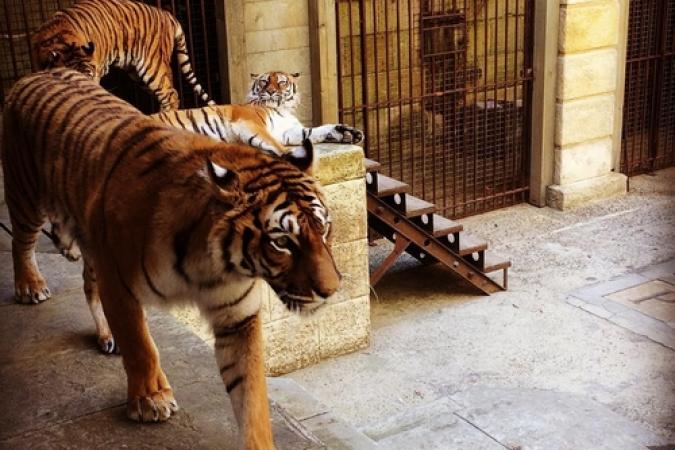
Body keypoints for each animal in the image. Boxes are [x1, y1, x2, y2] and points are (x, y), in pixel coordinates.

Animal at [153, 70, 364, 155]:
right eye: (264, 81)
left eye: (281, 82)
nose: (270, 91)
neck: (281, 109)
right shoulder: (249, 122)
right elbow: (273, 143)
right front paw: (289, 155)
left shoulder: (287, 132)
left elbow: (314, 132)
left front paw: (347, 133)